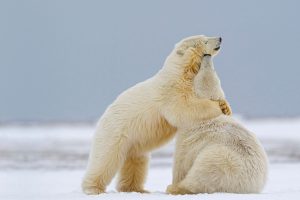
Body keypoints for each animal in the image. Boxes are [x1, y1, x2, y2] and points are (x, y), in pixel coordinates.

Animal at [82, 35, 232, 195]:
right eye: (205, 40)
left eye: (206, 36)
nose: (220, 38)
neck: (181, 70)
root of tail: (103, 116)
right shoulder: (171, 89)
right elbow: (183, 107)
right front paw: (217, 107)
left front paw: (226, 107)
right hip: (115, 132)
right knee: (105, 158)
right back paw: (93, 188)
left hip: (134, 142)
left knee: (137, 161)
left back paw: (137, 189)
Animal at [168, 54, 268, 194]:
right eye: (214, 70)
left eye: (199, 71)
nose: (207, 55)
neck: (207, 115)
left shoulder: (188, 138)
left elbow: (181, 162)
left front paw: (174, 182)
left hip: (220, 160)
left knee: (202, 174)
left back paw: (175, 188)